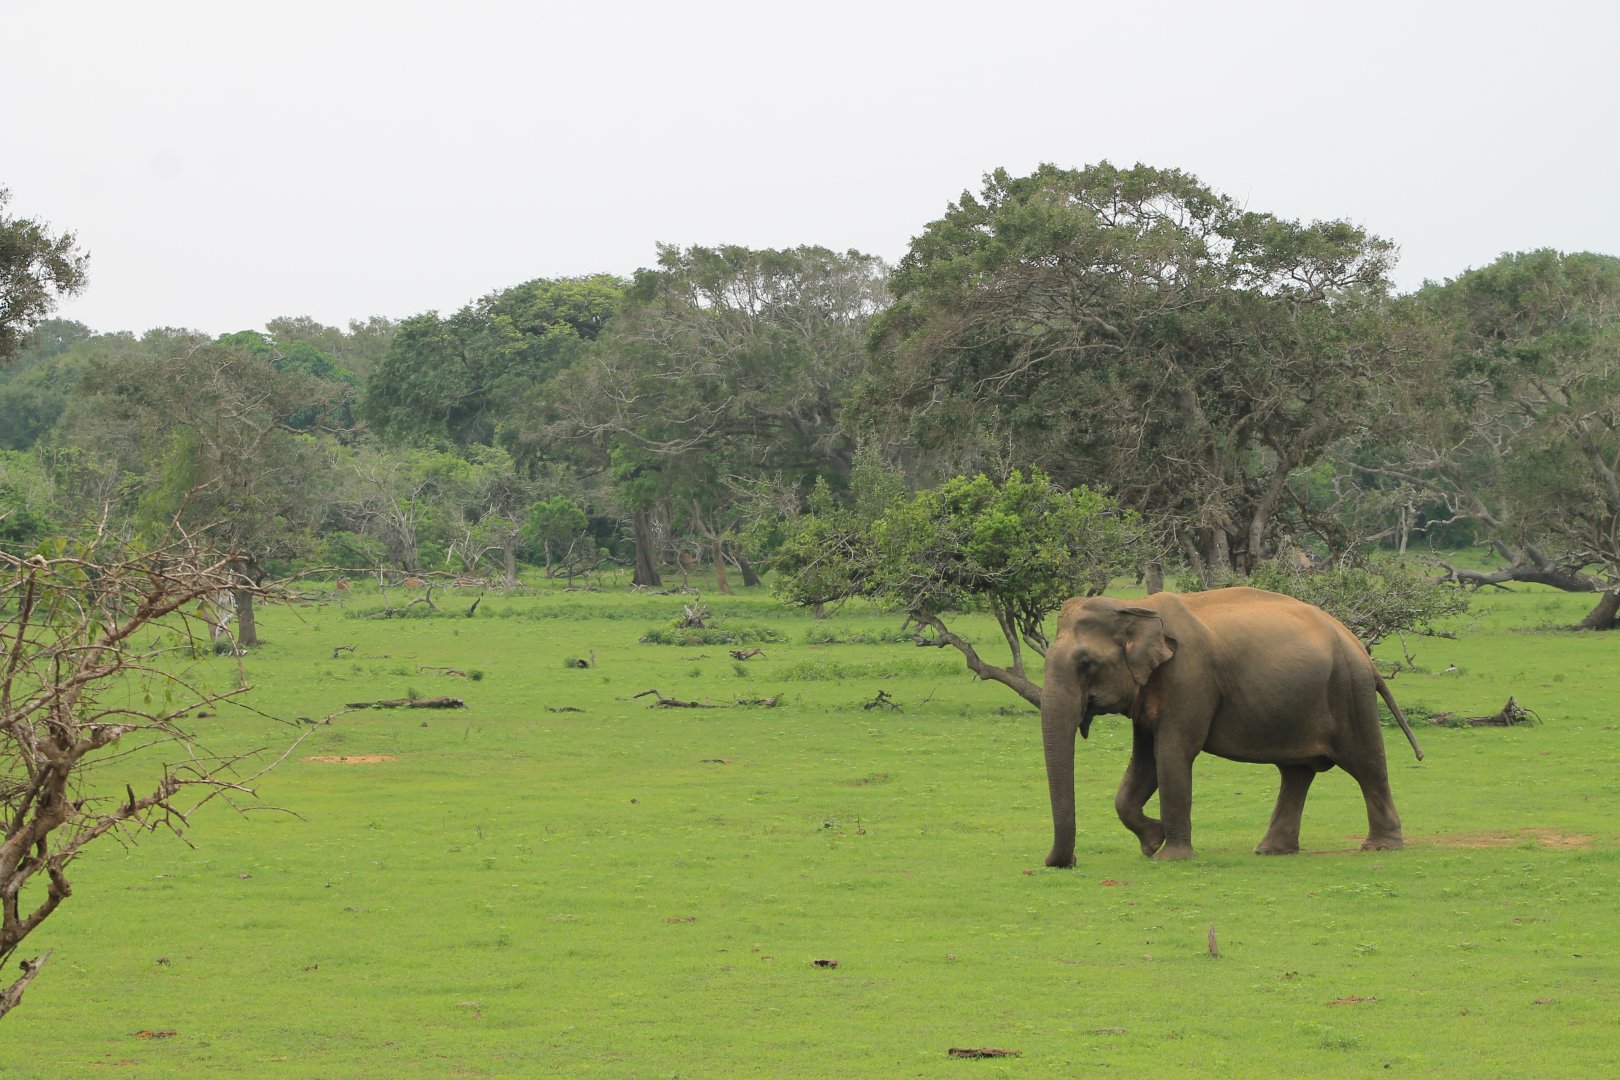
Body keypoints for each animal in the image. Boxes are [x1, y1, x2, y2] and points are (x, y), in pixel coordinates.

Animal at [1039, 587, 1423, 864]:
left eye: (1086, 664)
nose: (1066, 862)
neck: (1135, 606)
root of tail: (1358, 646)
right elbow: (1145, 763)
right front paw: (1151, 842)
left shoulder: (1188, 676)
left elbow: (1172, 753)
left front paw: (1170, 856)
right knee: (1296, 772)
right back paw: (1271, 851)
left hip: (1349, 691)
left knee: (1366, 763)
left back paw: (1380, 848)